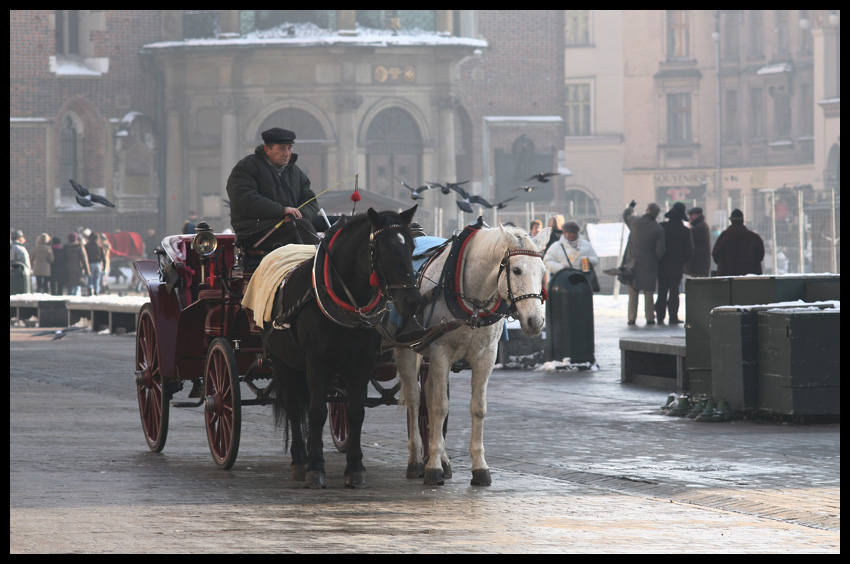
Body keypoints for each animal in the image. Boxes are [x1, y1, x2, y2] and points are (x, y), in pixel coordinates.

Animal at [266, 207, 420, 490]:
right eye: (385, 249)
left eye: (412, 246)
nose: (413, 300)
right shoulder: (315, 363)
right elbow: (316, 412)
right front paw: (315, 468)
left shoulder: (361, 364)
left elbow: (355, 413)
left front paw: (355, 468)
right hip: (281, 362)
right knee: (294, 405)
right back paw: (300, 461)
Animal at [394, 224, 548, 484]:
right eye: (516, 270)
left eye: (543, 272)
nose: (534, 321)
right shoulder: (440, 352)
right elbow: (439, 407)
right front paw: (432, 468)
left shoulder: (486, 357)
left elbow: (477, 408)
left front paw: (479, 467)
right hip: (405, 348)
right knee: (415, 399)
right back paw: (416, 461)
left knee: (428, 394)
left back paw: (443, 460)